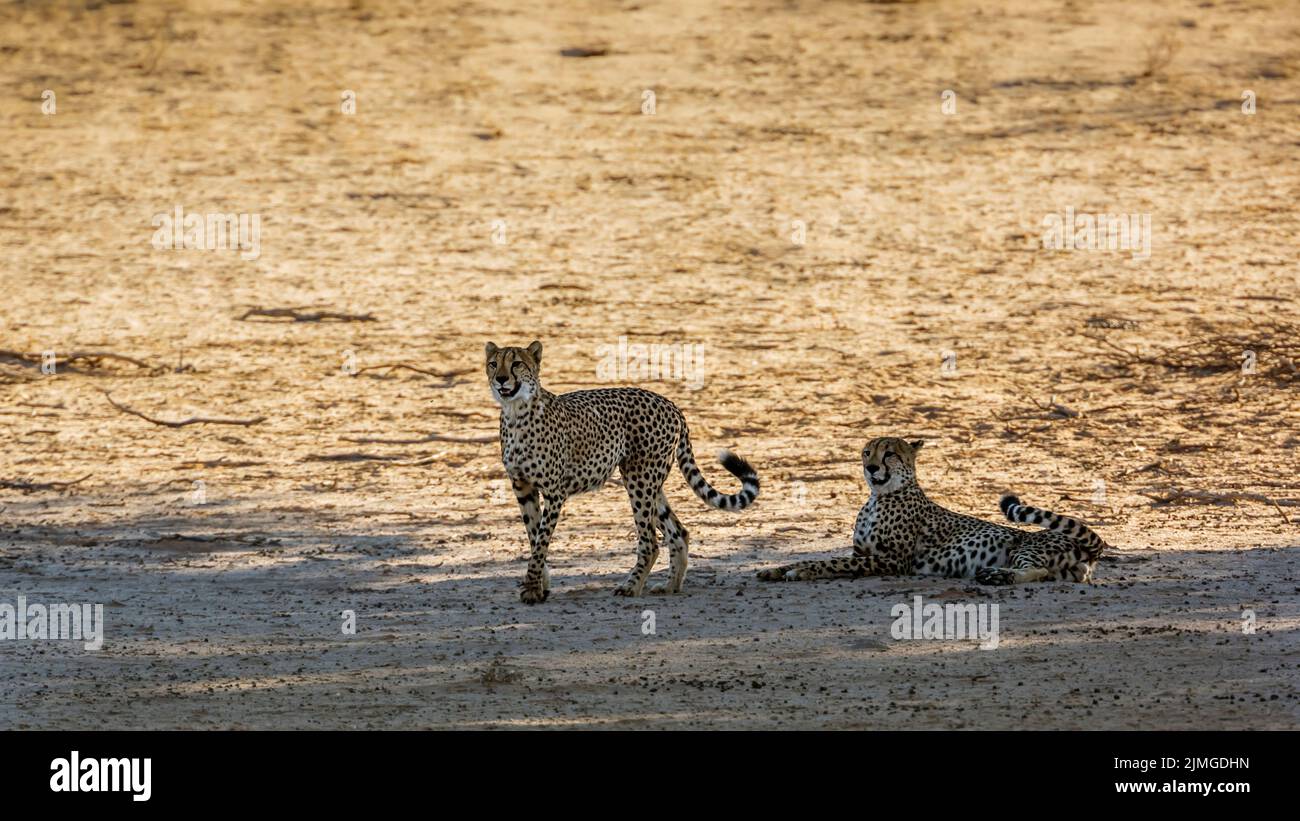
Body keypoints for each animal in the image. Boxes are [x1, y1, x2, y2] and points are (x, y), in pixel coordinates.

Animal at [483, 340, 759, 602]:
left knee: (650, 542)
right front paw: (540, 585)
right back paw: (670, 585)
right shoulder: (522, 487)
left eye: (517, 363)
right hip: (648, 482)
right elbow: (533, 535)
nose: (501, 379)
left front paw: (532, 589)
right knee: (678, 532)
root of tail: (670, 403)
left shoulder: (554, 492)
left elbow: (541, 540)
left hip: (639, 478)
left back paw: (631, 586)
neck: (516, 412)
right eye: (494, 364)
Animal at [759, 436, 1107, 584]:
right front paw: (776, 569)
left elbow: (830, 563)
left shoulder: (891, 562)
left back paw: (998, 576)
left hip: (1024, 546)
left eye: (889, 454)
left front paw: (799, 572)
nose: (871, 468)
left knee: (1040, 571)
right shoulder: (863, 554)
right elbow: (817, 558)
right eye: (867, 452)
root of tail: (1092, 548)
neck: (879, 496)